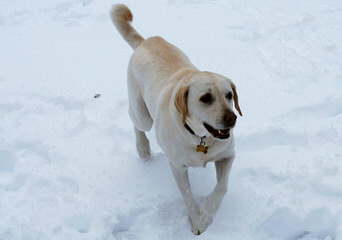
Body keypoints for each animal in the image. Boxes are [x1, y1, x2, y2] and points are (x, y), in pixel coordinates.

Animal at [111, 4, 242, 235]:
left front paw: (208, 212)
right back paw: (143, 148)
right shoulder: (177, 166)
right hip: (142, 113)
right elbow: (187, 196)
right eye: (205, 98)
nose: (232, 118)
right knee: (135, 121)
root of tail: (145, 41)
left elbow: (222, 187)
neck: (200, 138)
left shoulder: (227, 155)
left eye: (229, 95)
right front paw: (198, 221)